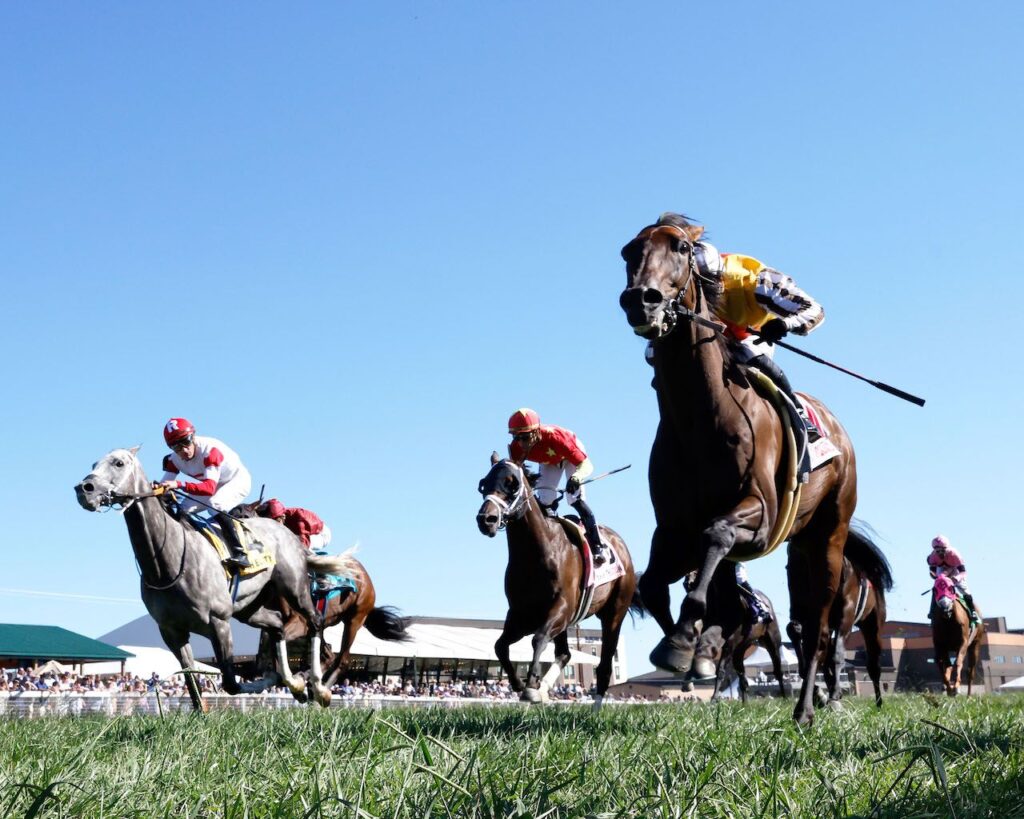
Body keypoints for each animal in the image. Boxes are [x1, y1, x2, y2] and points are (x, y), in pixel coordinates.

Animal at [75, 447, 353, 710]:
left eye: (118, 463)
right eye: (93, 464)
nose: (84, 489)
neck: (167, 561)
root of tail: (287, 532)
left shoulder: (218, 622)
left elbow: (231, 683)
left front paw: (282, 683)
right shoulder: (172, 631)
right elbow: (191, 678)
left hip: (294, 588)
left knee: (315, 622)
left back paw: (317, 687)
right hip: (249, 608)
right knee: (276, 624)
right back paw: (293, 682)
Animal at [476, 453, 638, 710]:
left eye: (512, 484)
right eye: (483, 484)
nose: (486, 519)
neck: (535, 553)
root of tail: (619, 543)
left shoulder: (561, 608)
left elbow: (539, 638)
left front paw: (531, 685)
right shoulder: (522, 614)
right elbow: (500, 646)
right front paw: (520, 684)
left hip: (614, 612)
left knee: (604, 665)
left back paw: (595, 709)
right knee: (564, 654)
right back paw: (544, 690)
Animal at [685, 565, 787, 703]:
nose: (687, 583)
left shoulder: (729, 645)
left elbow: (721, 670)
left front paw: (714, 698)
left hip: (772, 642)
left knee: (778, 670)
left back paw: (784, 697)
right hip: (740, 649)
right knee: (743, 677)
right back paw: (745, 703)